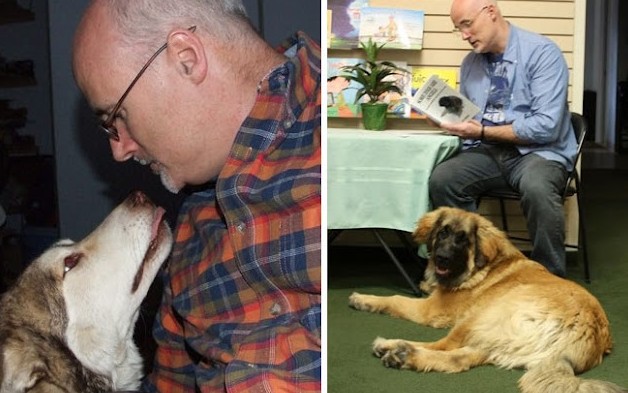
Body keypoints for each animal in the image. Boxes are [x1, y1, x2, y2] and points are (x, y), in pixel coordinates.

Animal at [350, 207, 624, 390]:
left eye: (462, 239)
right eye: (442, 234)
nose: (441, 258)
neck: (482, 266)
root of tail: (583, 337)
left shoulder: (432, 309)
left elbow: (395, 299)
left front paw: (364, 298)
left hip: (486, 313)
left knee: (444, 345)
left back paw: (394, 347)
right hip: (498, 338)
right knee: (458, 359)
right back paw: (401, 354)